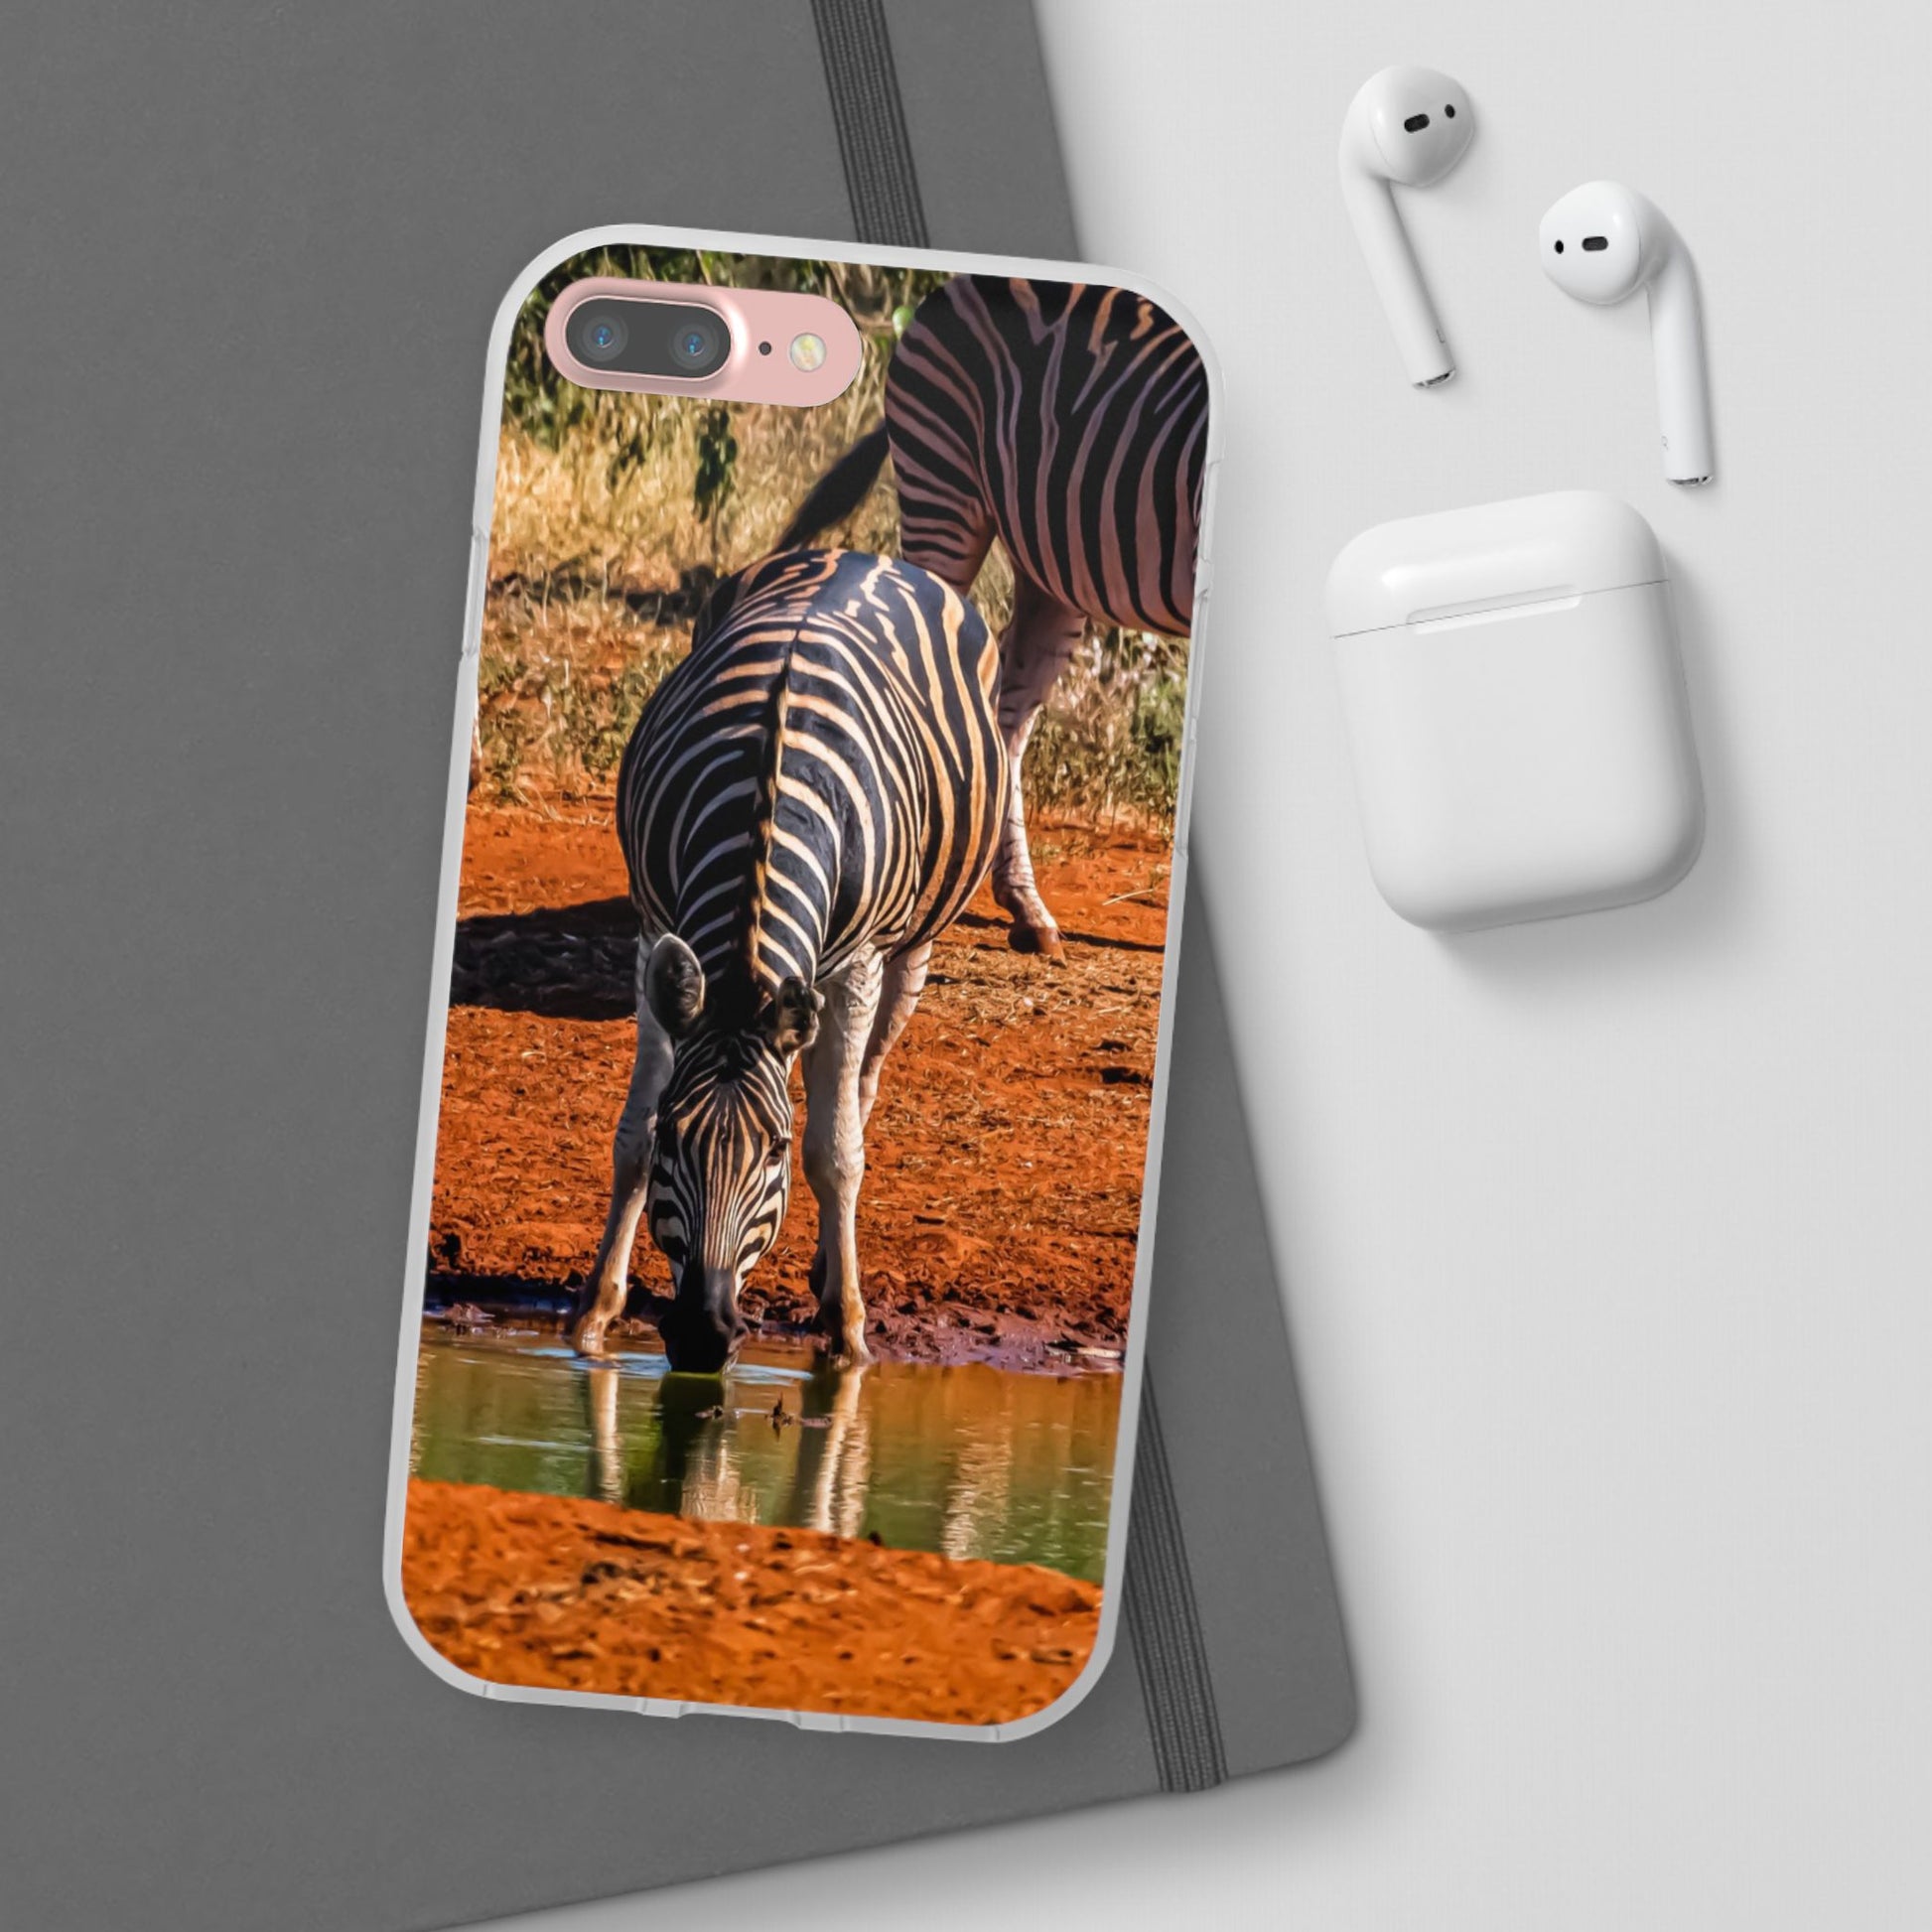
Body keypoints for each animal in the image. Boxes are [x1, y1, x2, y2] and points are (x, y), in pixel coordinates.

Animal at [568, 546, 1007, 1371]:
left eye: (772, 1151)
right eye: (678, 1136)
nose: (702, 1336)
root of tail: (862, 553)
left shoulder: (859, 960)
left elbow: (835, 1153)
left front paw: (848, 1330)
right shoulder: (654, 930)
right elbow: (631, 1132)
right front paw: (594, 1313)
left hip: (912, 945)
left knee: (861, 1088)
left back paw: (834, 1270)